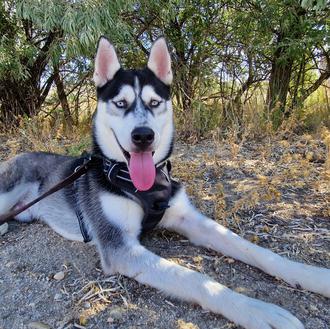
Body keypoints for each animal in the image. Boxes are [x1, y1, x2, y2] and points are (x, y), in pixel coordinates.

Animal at [0, 37, 330, 326]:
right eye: (121, 103)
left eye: (155, 102)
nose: (143, 136)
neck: (138, 183)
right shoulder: (120, 247)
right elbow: (192, 277)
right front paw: (256, 310)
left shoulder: (188, 218)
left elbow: (252, 249)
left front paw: (312, 275)